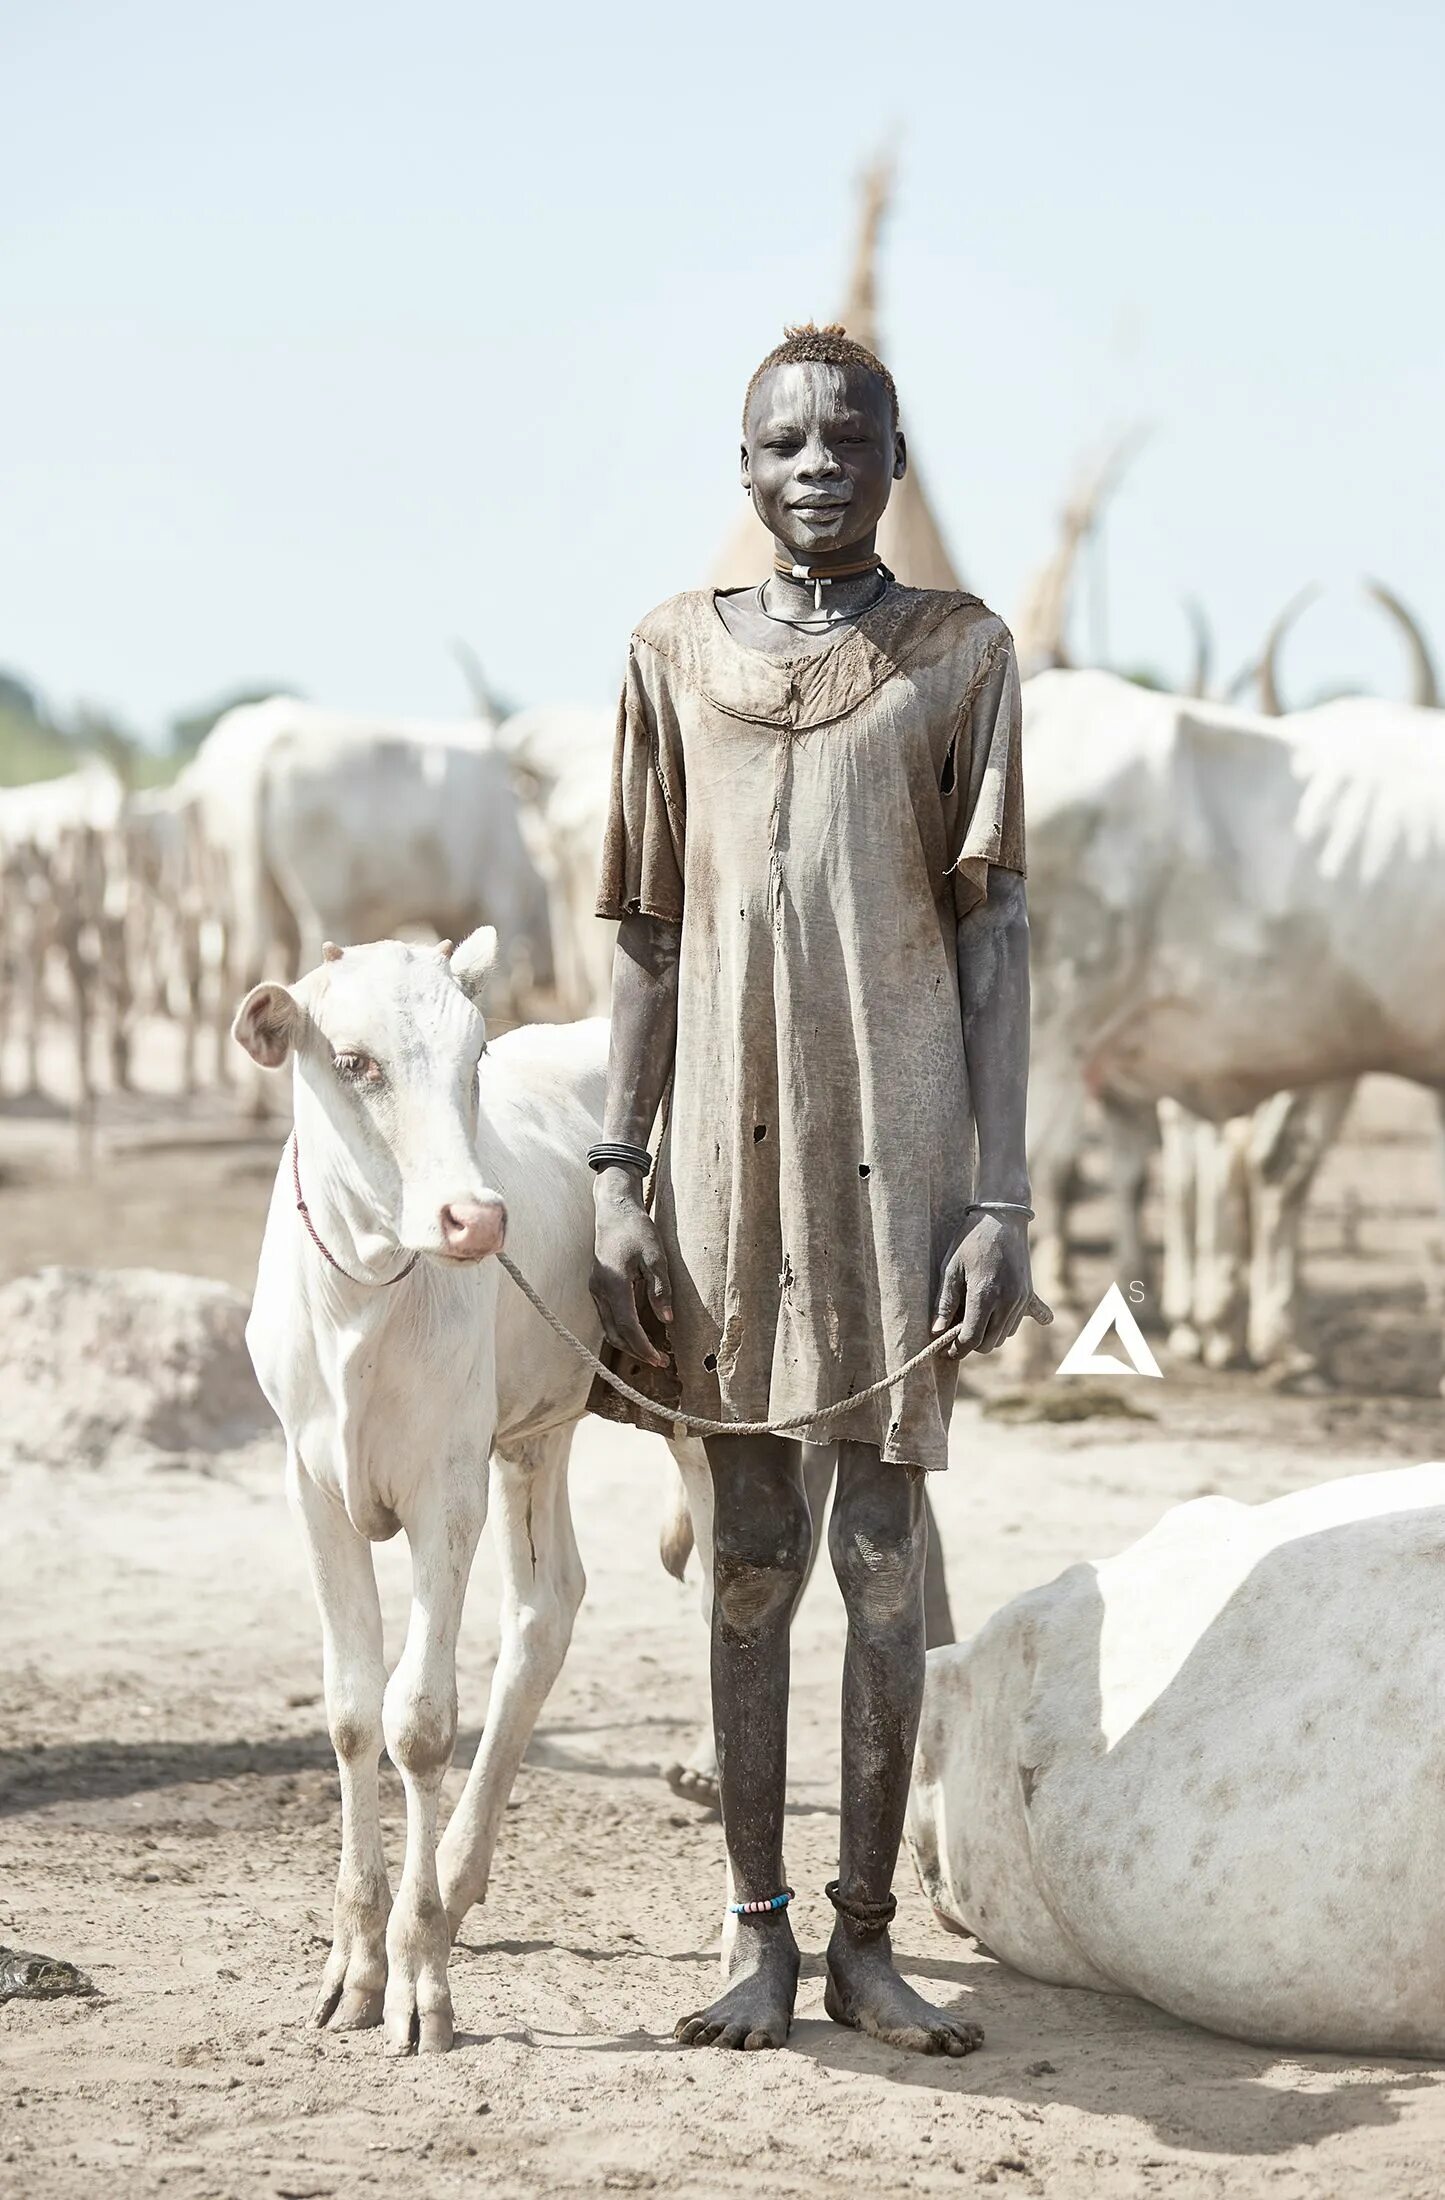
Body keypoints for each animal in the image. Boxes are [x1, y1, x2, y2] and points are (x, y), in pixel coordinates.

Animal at [236, 937, 708, 2050]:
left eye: (473, 1055)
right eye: (354, 1061)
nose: (476, 1217)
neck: (363, 1291)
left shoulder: (444, 1488)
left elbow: (416, 1720)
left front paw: (417, 1974)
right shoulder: (309, 1482)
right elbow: (351, 1713)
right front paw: (356, 1957)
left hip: (704, 1418)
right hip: (539, 1433)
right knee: (546, 1609)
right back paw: (454, 1879)